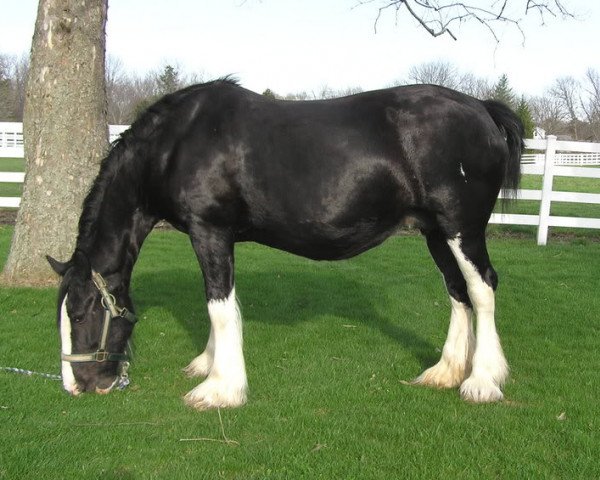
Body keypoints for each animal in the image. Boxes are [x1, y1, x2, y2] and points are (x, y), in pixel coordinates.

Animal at [47, 79, 524, 408]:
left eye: (80, 313)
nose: (77, 386)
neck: (179, 142)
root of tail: (481, 108)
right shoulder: (212, 237)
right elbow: (218, 304)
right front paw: (207, 365)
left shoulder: (210, 231)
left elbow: (219, 307)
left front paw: (219, 389)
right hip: (435, 231)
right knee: (457, 291)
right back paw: (446, 372)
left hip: (462, 228)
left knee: (482, 288)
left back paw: (482, 381)